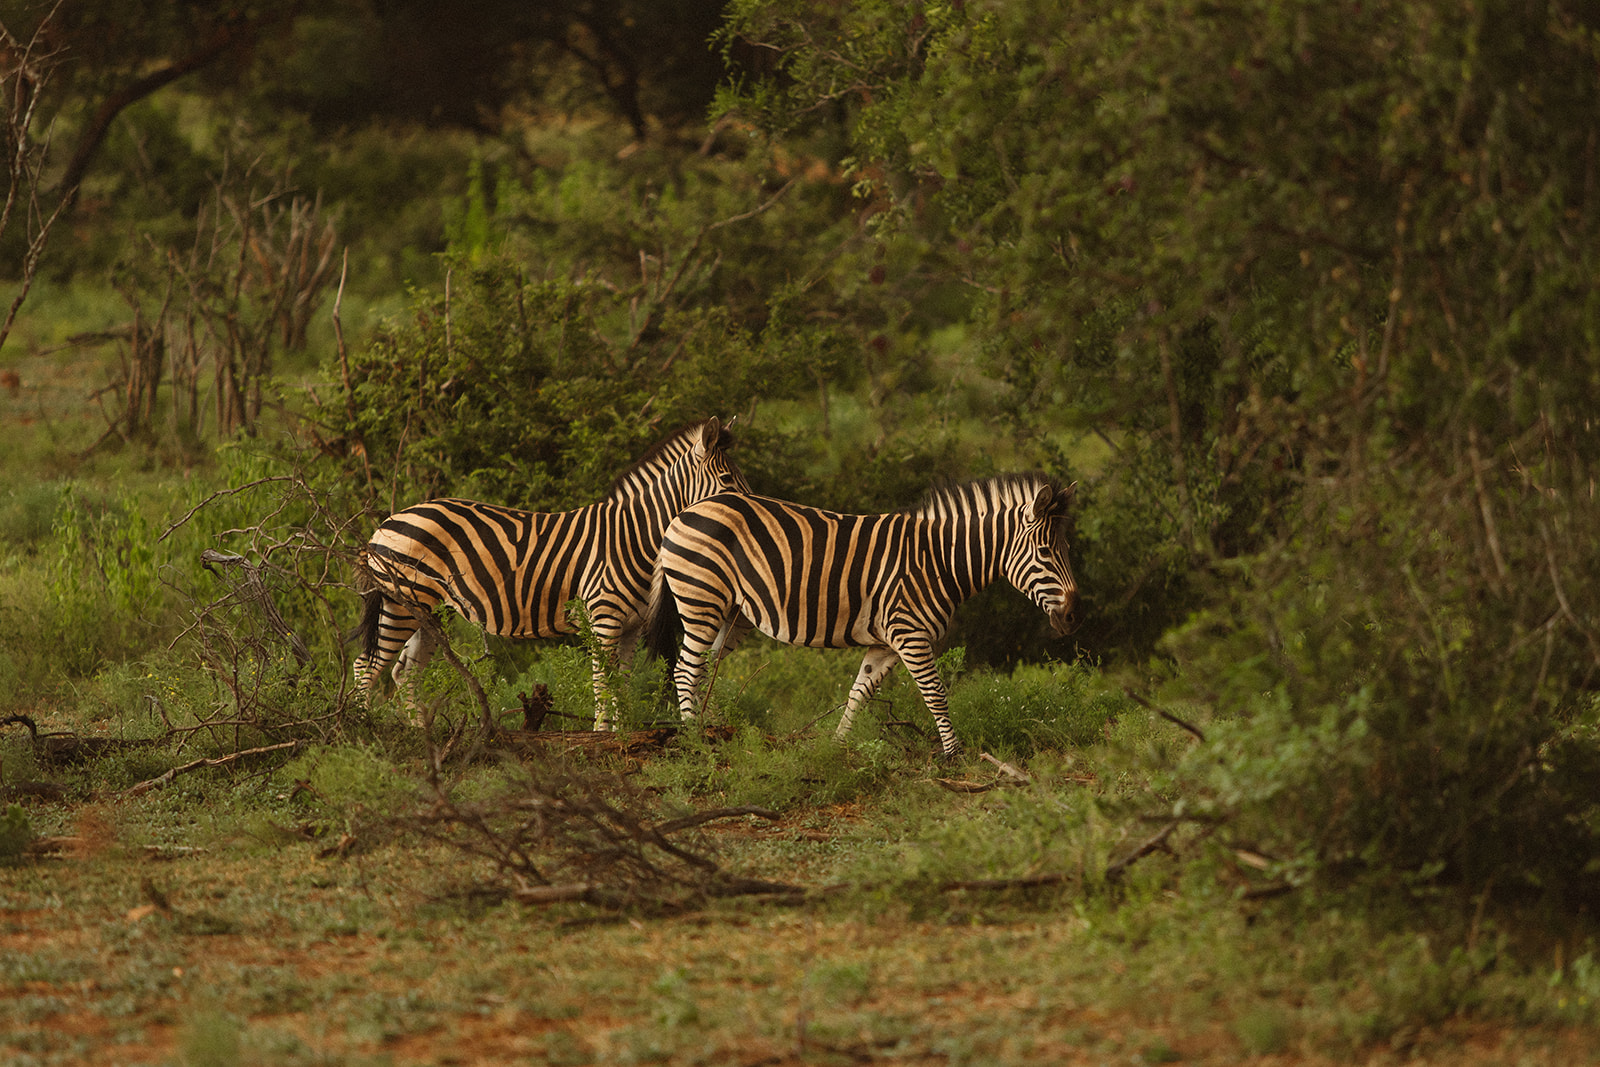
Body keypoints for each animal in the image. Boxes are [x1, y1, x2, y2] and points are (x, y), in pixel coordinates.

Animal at [352, 417, 749, 727]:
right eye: (728, 482)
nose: (747, 511)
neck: (633, 536)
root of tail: (387, 522)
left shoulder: (630, 627)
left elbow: (620, 684)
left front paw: (620, 735)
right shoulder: (603, 618)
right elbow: (602, 683)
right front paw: (602, 734)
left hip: (431, 612)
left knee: (406, 671)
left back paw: (421, 732)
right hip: (400, 602)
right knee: (366, 665)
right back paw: (362, 729)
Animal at [645, 475, 1078, 757]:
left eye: (1066, 550)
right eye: (1045, 553)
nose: (1073, 615)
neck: (938, 561)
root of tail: (685, 511)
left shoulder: (886, 643)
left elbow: (859, 693)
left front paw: (836, 747)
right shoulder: (910, 634)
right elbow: (936, 695)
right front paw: (954, 754)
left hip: (732, 613)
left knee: (703, 668)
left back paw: (710, 727)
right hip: (701, 598)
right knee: (685, 669)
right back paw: (694, 739)